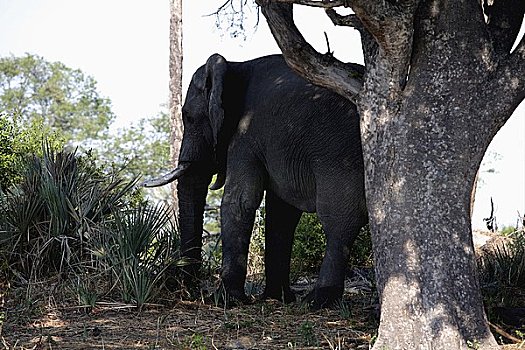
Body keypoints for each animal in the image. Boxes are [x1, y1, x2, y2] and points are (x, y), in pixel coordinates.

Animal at [142, 53, 364, 308]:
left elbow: (238, 202)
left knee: (339, 221)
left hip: (342, 157)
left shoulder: (246, 134)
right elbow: (281, 213)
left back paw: (317, 301)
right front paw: (275, 298)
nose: (189, 290)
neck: (236, 66)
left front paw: (225, 299)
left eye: (188, 117)